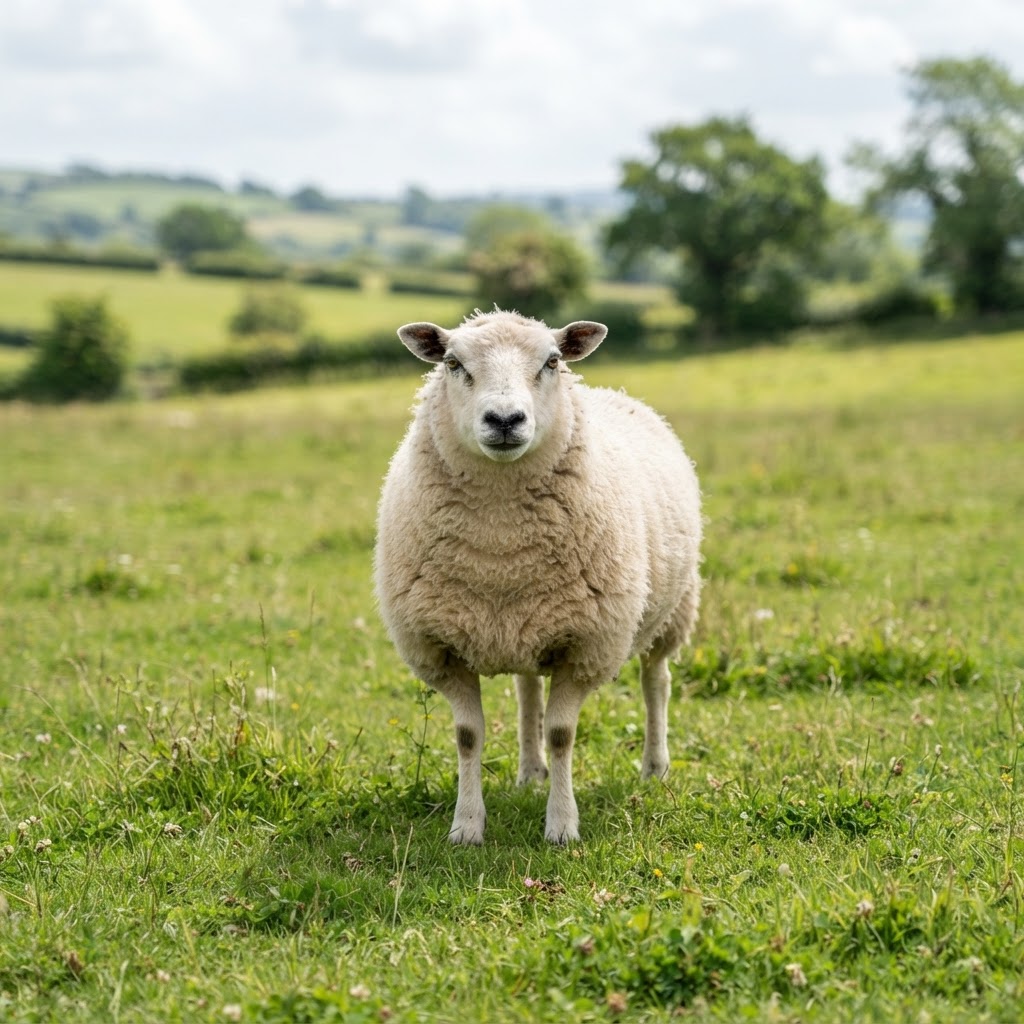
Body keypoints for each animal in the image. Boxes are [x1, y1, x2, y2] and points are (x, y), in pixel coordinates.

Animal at [374, 309, 702, 844]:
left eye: (551, 362)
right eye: (452, 363)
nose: (505, 420)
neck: (501, 550)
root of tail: (615, 392)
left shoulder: (587, 646)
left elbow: (562, 734)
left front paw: (562, 825)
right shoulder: (442, 649)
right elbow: (468, 736)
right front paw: (466, 826)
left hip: (671, 611)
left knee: (657, 681)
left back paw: (655, 766)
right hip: (524, 624)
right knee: (527, 690)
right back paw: (530, 771)